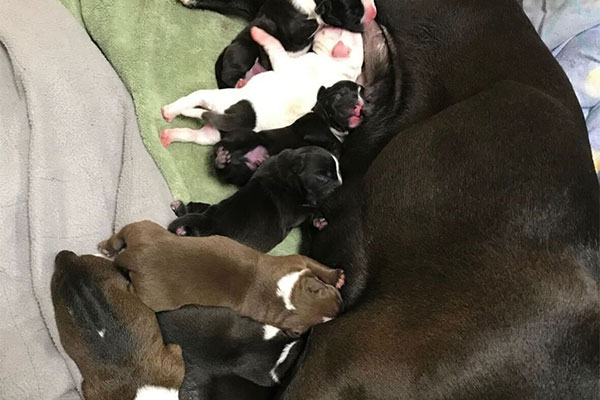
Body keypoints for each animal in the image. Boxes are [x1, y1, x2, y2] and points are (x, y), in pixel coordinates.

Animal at [98, 220, 342, 336]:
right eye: (323, 290)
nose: (341, 304)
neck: (284, 295)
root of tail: (136, 256)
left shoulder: (298, 263)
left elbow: (316, 264)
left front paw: (336, 276)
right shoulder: (293, 261)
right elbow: (312, 261)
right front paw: (338, 277)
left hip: (144, 229)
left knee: (122, 234)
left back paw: (106, 247)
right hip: (153, 298)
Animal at [166, 147, 342, 252]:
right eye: (323, 177)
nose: (340, 184)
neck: (287, 170)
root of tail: (209, 220)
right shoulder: (295, 212)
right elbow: (311, 208)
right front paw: (319, 219)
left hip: (205, 209)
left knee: (193, 207)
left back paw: (179, 208)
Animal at [214, 81, 366, 188]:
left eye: (364, 96)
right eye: (339, 94)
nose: (359, 104)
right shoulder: (314, 131)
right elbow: (337, 145)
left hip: (242, 172)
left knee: (229, 171)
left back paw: (222, 161)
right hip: (245, 136)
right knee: (221, 146)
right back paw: (221, 155)